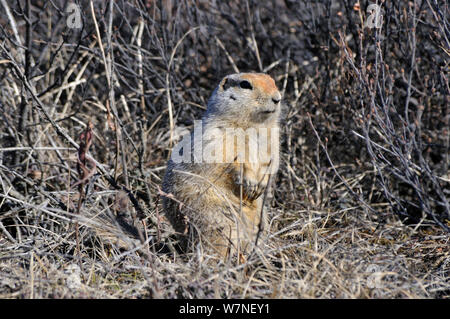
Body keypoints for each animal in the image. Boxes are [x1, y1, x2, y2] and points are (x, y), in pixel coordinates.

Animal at [162, 73, 282, 260]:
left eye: (273, 81)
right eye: (245, 84)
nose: (277, 98)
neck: (254, 125)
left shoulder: (273, 141)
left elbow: (272, 162)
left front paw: (261, 185)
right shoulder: (219, 136)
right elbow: (231, 160)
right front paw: (250, 182)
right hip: (217, 221)